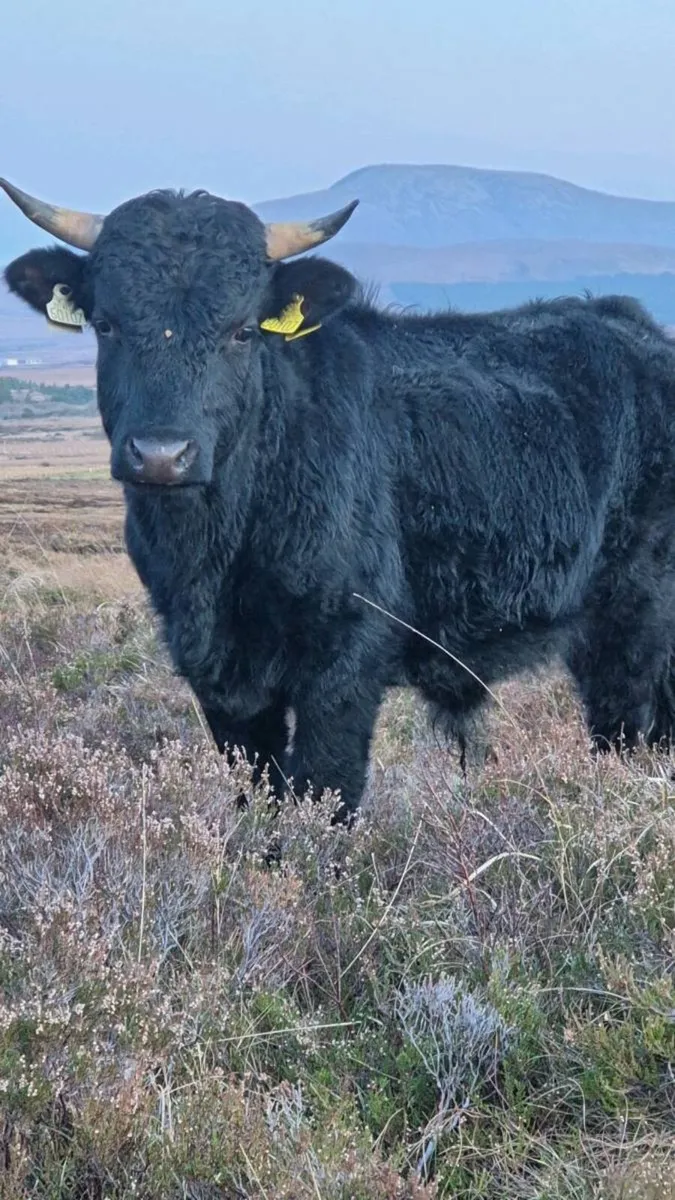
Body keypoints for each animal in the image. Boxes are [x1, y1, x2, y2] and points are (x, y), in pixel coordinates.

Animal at [4, 177, 675, 822]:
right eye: (107, 324)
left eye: (241, 331)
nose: (163, 454)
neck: (219, 549)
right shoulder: (219, 676)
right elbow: (259, 792)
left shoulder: (344, 662)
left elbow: (325, 791)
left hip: (634, 618)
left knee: (628, 723)